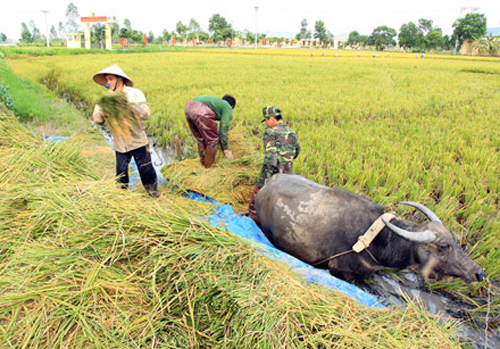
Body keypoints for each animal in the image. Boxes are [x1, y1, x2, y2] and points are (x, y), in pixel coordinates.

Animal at [256, 173, 482, 282]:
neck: (377, 239)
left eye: (454, 239)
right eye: (443, 246)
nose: (478, 273)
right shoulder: (341, 271)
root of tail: (268, 183)